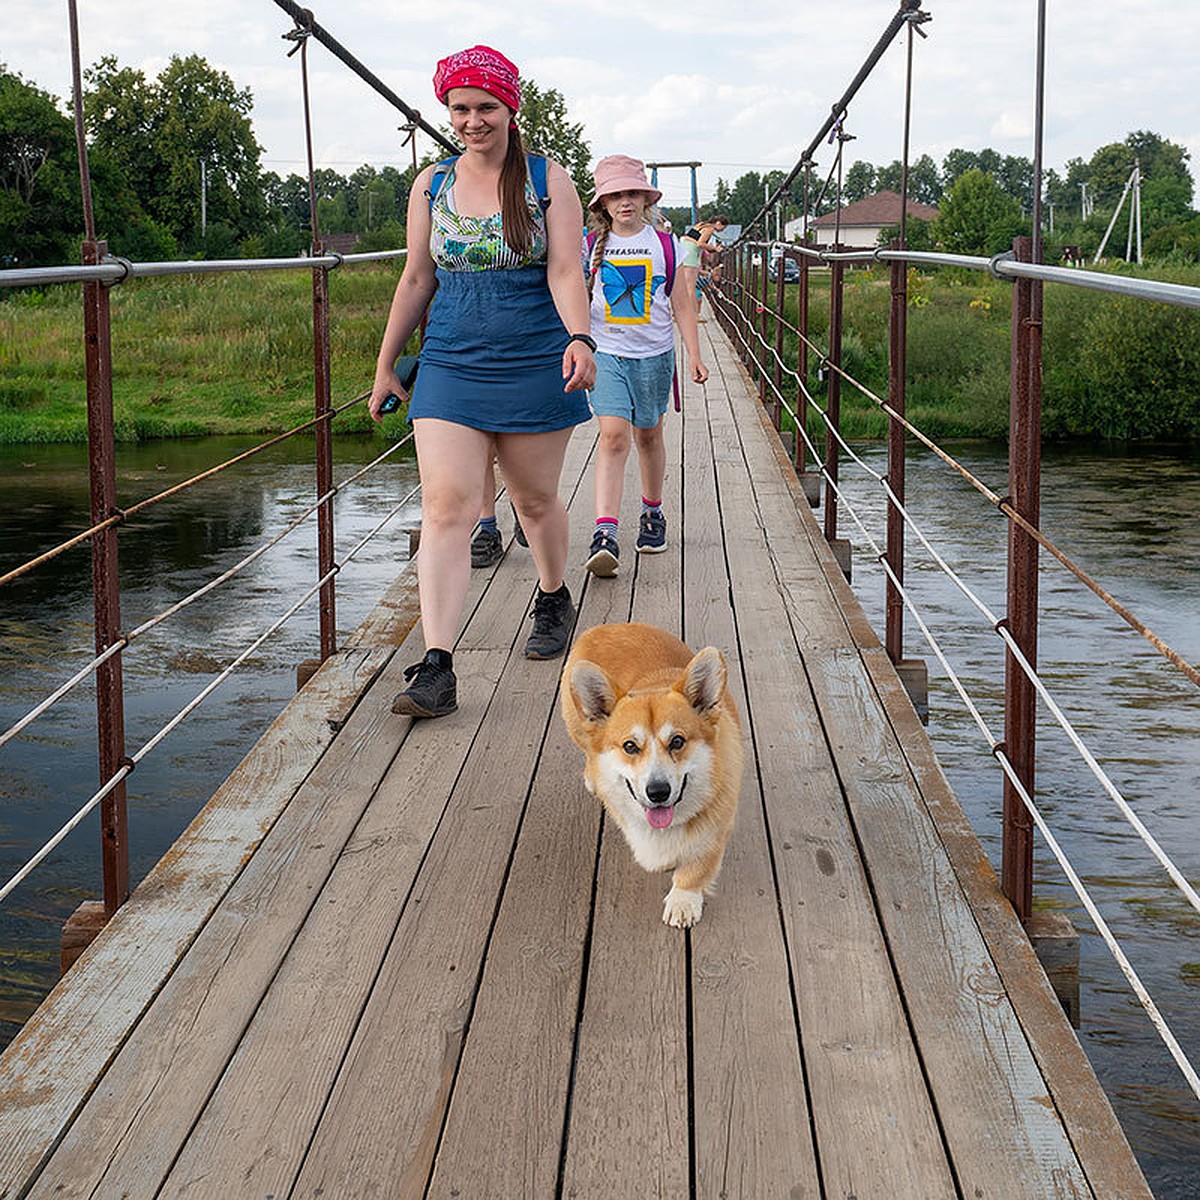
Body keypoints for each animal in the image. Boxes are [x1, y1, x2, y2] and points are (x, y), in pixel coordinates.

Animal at [559, 624, 739, 921]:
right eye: (629, 746)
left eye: (677, 741)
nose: (657, 792)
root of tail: (605, 626)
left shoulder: (715, 833)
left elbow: (695, 869)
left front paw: (682, 901)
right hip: (576, 726)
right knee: (588, 749)